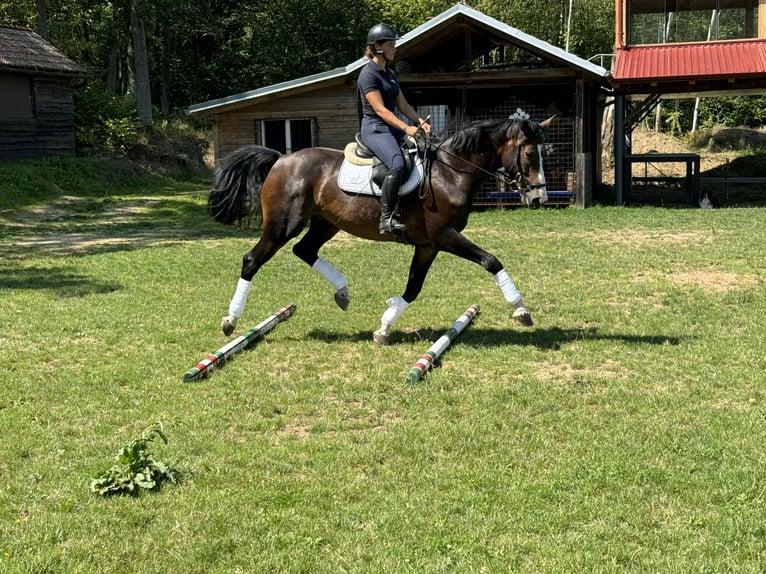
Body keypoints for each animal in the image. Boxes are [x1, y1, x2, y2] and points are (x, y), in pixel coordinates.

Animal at [212, 115, 560, 344]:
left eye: (546, 153)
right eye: (531, 154)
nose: (539, 198)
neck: (451, 172)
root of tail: (280, 159)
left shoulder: (428, 245)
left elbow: (413, 288)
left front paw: (384, 326)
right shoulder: (445, 236)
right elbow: (491, 261)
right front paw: (521, 310)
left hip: (325, 223)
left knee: (305, 250)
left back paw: (342, 292)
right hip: (282, 226)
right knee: (252, 260)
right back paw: (230, 321)